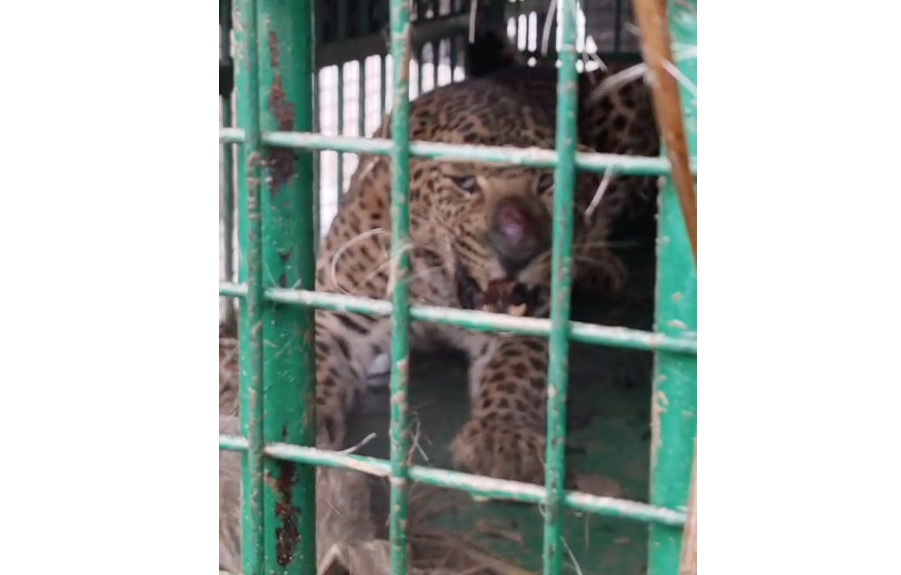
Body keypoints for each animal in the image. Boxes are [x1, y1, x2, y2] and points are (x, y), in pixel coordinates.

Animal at [312, 77, 638, 487]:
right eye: (465, 182)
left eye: (547, 182)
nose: (518, 251)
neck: (438, 285)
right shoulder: (338, 310)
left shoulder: (534, 316)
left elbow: (515, 369)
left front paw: (504, 437)